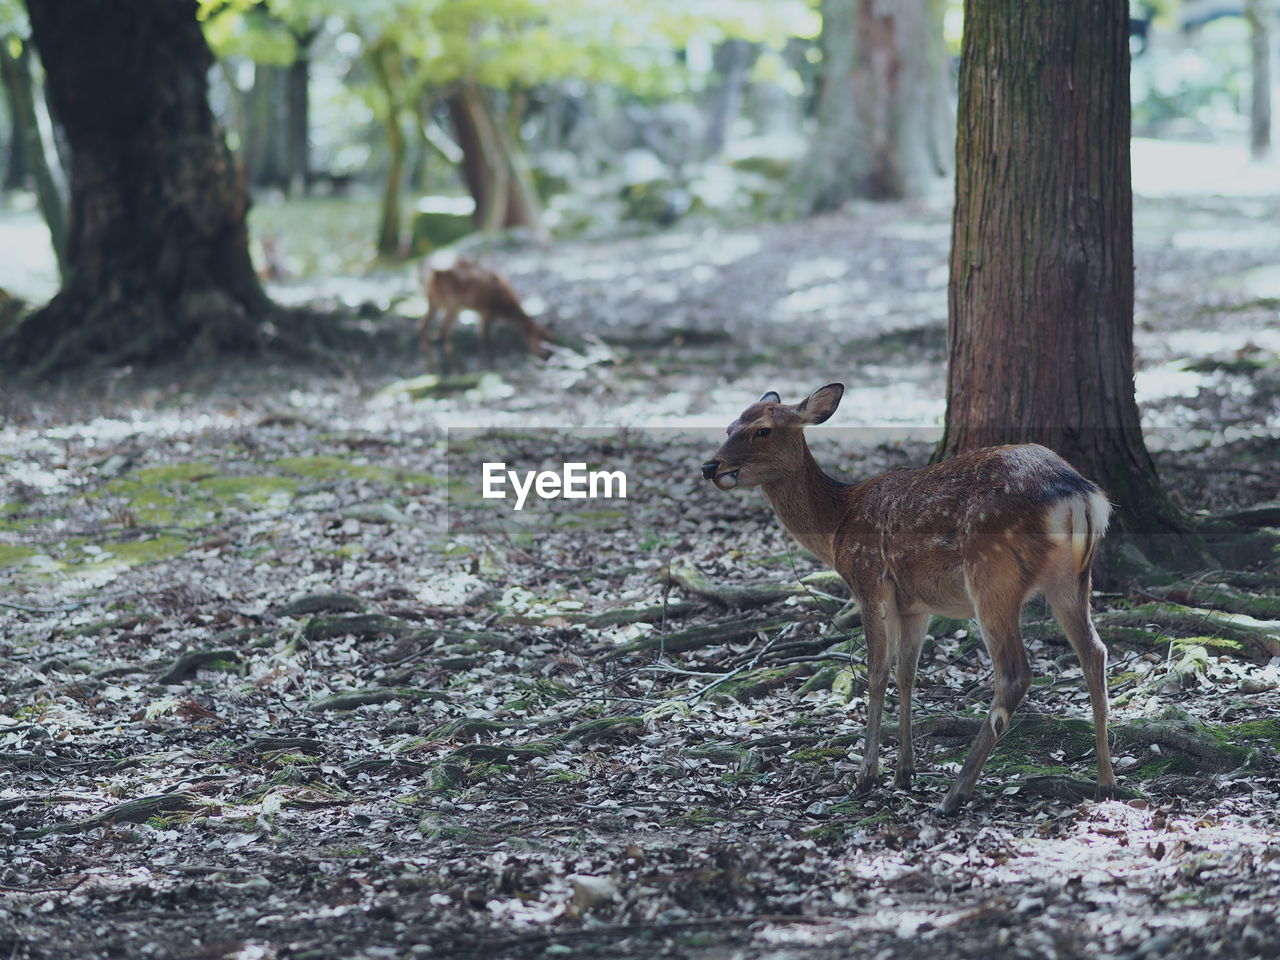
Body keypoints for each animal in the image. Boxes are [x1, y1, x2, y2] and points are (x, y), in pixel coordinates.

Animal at [419, 257, 555, 373]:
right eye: (541, 341)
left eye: (552, 339)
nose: (548, 356)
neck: (506, 307)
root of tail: (434, 274)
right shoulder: (487, 312)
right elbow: (485, 342)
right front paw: (489, 366)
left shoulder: (484, 314)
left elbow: (484, 341)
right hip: (450, 302)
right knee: (434, 329)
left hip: (442, 303)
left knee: (432, 328)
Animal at [701, 384, 1111, 814]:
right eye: (729, 426)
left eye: (762, 430)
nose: (710, 467)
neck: (838, 525)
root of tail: (1082, 496)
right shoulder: (916, 605)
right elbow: (907, 674)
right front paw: (904, 773)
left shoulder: (869, 582)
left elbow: (877, 671)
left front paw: (866, 775)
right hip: (1071, 578)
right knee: (1094, 652)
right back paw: (1105, 783)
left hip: (991, 575)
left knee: (1015, 674)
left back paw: (955, 793)